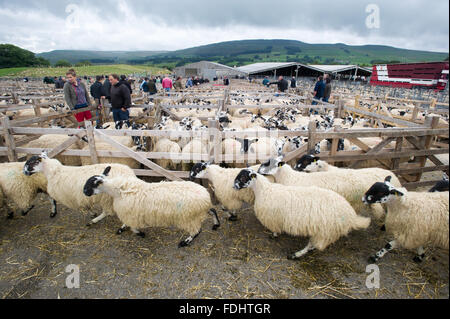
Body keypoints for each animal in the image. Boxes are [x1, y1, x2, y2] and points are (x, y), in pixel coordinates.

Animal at [83, 166, 221, 249]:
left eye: (91, 184)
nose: (84, 192)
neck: (118, 191)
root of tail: (205, 195)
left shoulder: (131, 213)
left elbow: (133, 227)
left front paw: (141, 233)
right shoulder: (130, 213)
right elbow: (127, 224)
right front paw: (122, 228)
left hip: (188, 217)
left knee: (197, 231)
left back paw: (185, 242)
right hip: (197, 212)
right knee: (212, 210)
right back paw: (216, 224)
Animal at [232, 169, 370, 262]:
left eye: (243, 178)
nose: (233, 186)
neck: (264, 190)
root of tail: (350, 215)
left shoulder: (273, 218)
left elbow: (275, 230)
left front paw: (274, 235)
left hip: (325, 231)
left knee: (312, 245)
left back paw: (295, 254)